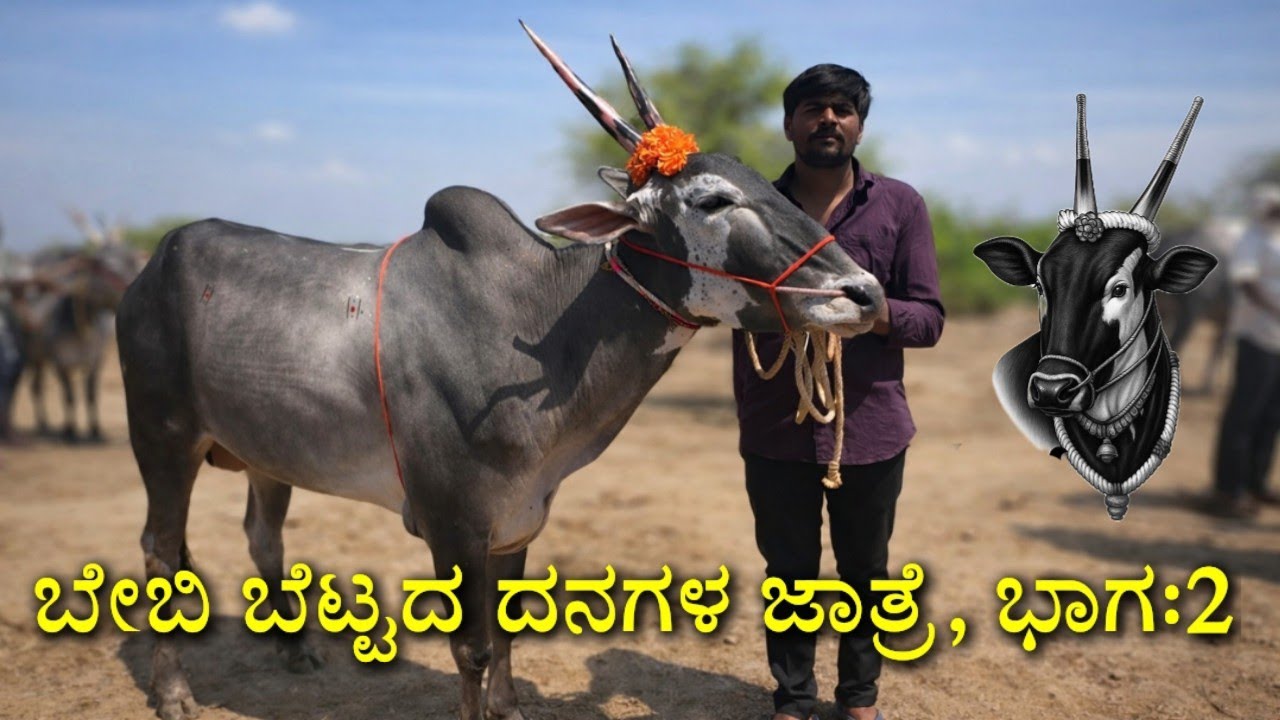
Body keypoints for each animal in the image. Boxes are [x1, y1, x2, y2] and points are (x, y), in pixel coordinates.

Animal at [116, 24, 885, 720]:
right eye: (713, 200)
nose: (865, 293)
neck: (540, 326)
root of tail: (151, 265)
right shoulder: (450, 520)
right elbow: (474, 648)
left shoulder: (520, 515)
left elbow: (509, 636)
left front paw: (509, 710)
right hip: (162, 438)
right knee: (160, 550)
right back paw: (174, 691)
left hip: (268, 451)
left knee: (262, 535)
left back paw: (296, 650)